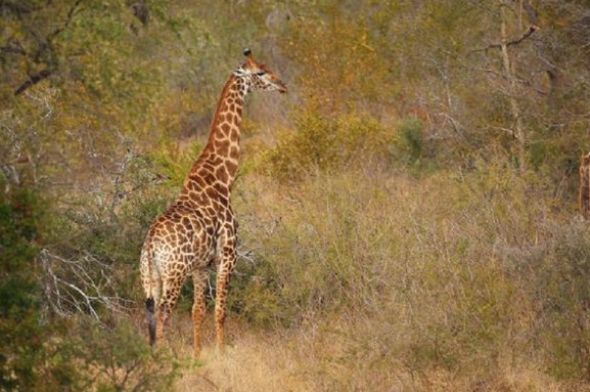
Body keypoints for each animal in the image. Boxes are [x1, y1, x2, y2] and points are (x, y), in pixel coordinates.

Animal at [139, 49, 286, 356]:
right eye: (260, 72)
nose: (282, 86)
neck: (221, 177)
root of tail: (150, 247)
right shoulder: (227, 254)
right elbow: (220, 310)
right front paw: (220, 351)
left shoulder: (201, 265)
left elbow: (198, 311)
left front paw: (197, 354)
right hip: (174, 275)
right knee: (164, 315)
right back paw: (165, 357)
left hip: (150, 279)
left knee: (150, 315)